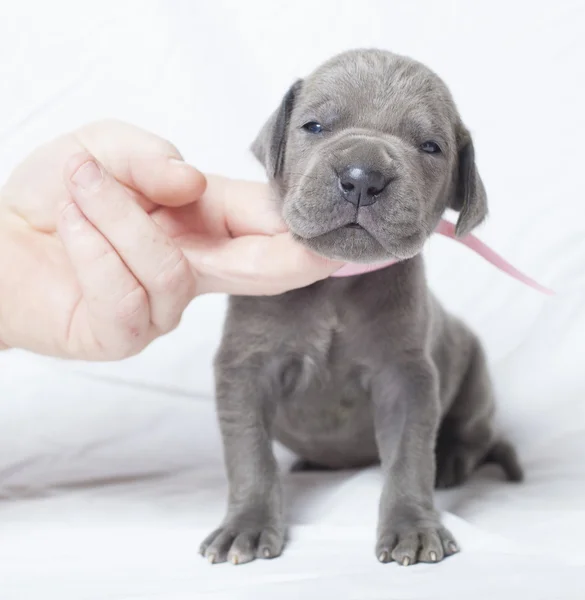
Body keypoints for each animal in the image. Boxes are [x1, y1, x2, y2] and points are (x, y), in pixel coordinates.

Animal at [201, 48, 520, 568]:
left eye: (430, 146)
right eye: (313, 126)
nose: (363, 177)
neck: (337, 280)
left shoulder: (405, 376)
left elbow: (410, 455)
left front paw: (412, 527)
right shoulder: (246, 367)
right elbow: (250, 452)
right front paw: (245, 526)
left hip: (475, 373)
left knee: (476, 432)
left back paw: (451, 461)